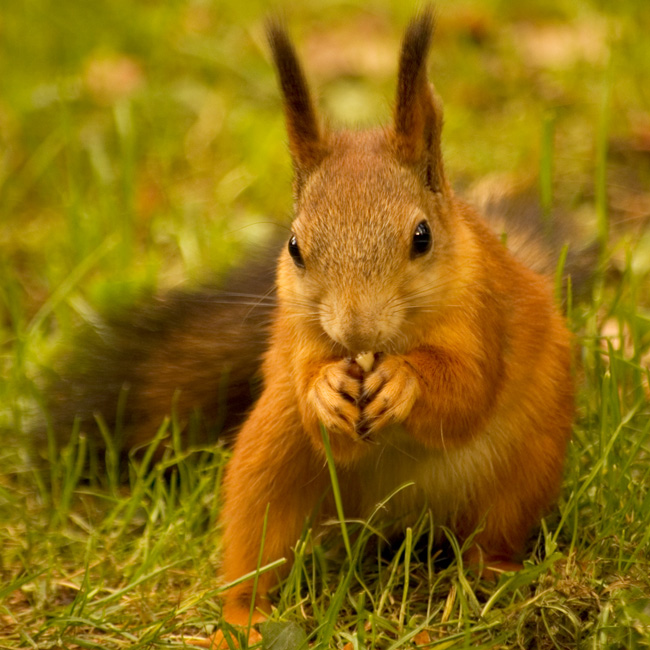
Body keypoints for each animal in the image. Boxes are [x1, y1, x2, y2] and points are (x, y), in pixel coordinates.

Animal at [44, 6, 572, 644]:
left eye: (422, 237)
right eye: (295, 247)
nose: (355, 332)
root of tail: (391, 523)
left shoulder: (485, 312)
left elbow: (468, 390)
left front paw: (407, 381)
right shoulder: (295, 334)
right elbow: (312, 395)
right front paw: (324, 389)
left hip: (526, 465)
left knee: (493, 531)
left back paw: (495, 579)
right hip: (270, 459)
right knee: (257, 542)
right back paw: (241, 616)